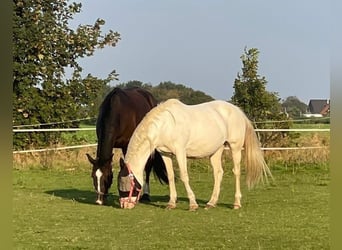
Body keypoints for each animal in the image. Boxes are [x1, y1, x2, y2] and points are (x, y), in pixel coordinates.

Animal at [118, 98, 272, 210]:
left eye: (126, 185)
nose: (124, 205)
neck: (166, 125)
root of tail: (238, 111)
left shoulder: (180, 152)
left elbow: (184, 176)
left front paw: (193, 204)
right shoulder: (165, 154)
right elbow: (171, 177)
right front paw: (171, 203)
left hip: (235, 147)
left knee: (237, 172)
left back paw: (236, 203)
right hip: (216, 150)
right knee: (218, 173)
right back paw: (211, 203)